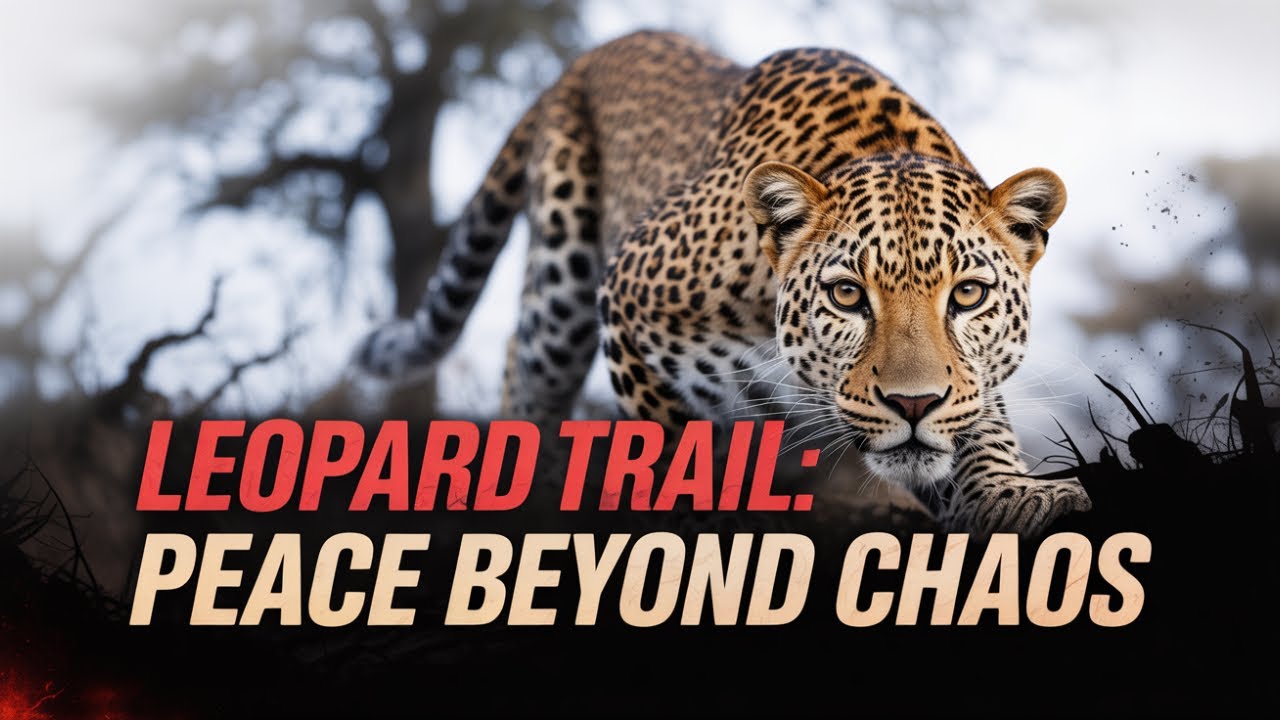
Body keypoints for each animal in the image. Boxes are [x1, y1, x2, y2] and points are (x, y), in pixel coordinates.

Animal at [358, 30, 1091, 536]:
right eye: (847, 295)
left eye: (967, 295)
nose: (914, 404)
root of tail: (591, 57)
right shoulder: (625, 296)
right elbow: (665, 449)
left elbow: (977, 430)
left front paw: (1013, 496)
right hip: (563, 281)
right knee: (525, 362)